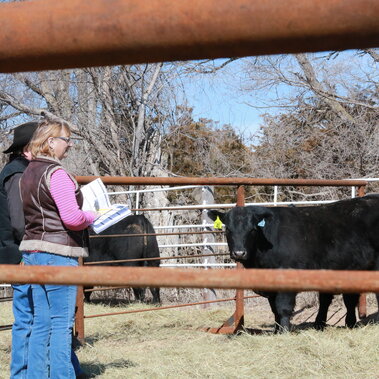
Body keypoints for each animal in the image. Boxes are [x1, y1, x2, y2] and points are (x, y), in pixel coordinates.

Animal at [209, 196, 379, 332]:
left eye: (252, 230)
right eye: (228, 230)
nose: (239, 253)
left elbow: (283, 308)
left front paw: (284, 331)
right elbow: (274, 309)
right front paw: (276, 330)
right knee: (347, 299)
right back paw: (343, 324)